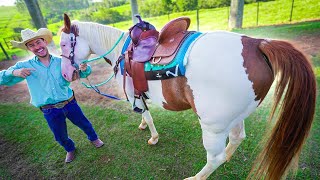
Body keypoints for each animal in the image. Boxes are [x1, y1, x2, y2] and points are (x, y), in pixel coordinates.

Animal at [58, 13, 316, 179]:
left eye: (63, 45)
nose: (66, 74)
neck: (123, 52)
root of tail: (257, 43)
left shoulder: (133, 93)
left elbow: (147, 115)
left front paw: (152, 136)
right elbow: (143, 114)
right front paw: (142, 125)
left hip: (212, 127)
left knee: (214, 158)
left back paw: (197, 177)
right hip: (236, 117)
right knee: (237, 138)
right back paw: (228, 157)